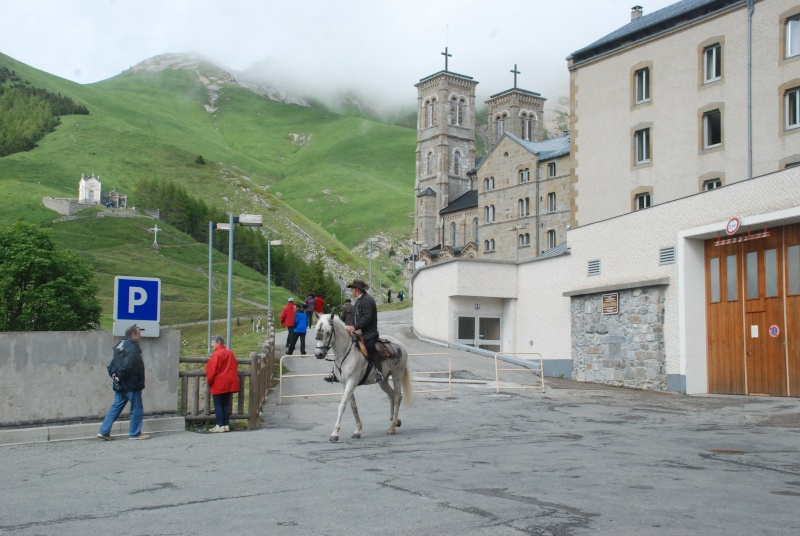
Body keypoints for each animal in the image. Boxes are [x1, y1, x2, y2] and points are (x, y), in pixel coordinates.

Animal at [312, 312, 412, 442]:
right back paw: (395, 420)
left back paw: (392, 427)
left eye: (328, 332)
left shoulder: (351, 382)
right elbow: (353, 406)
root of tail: (400, 345)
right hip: (383, 380)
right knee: (391, 395)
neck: (346, 352)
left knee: (398, 397)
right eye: (317, 330)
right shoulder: (344, 384)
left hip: (397, 375)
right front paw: (357, 430)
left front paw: (335, 433)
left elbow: (342, 405)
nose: (318, 354)